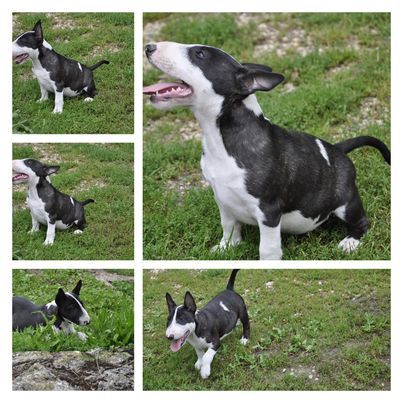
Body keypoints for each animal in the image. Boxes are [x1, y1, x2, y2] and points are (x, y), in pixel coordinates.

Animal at [144, 42, 391, 260]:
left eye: (200, 54)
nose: (149, 47)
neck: (221, 138)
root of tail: (337, 149)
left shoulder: (268, 211)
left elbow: (267, 248)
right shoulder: (222, 198)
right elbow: (228, 225)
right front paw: (226, 247)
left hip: (347, 204)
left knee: (362, 222)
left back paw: (350, 241)